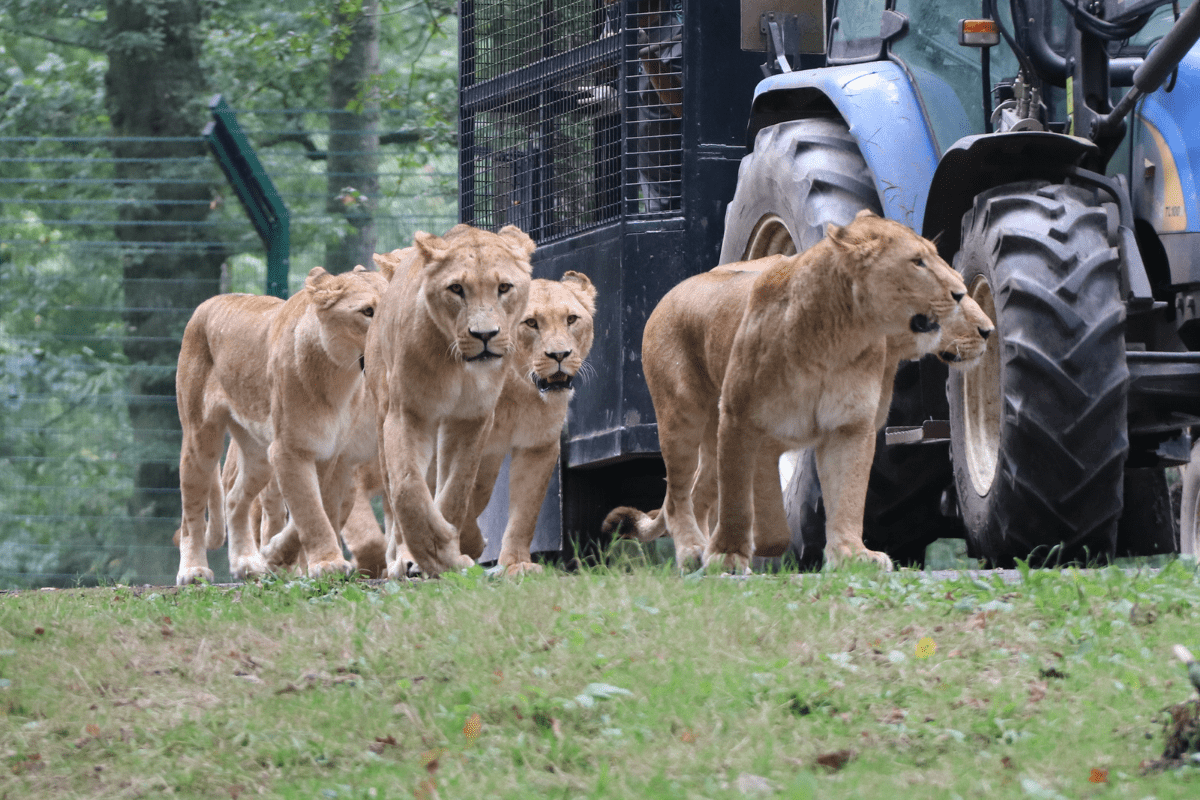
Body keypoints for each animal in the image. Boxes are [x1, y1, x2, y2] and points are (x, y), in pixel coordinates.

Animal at [175, 265, 387, 585]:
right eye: (367, 311)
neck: (339, 377)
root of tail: (209, 301)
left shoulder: (329, 454)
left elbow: (316, 510)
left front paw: (276, 556)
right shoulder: (290, 450)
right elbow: (310, 510)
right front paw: (327, 563)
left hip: (258, 454)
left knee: (235, 499)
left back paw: (247, 563)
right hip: (201, 441)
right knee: (192, 512)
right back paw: (192, 571)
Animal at [364, 224, 536, 579]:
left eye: (504, 287)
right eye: (456, 289)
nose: (484, 335)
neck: (460, 367)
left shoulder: (472, 418)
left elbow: (458, 488)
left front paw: (453, 547)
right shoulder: (408, 413)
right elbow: (407, 488)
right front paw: (437, 555)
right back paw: (403, 559)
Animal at [603, 211, 993, 572]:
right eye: (917, 262)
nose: (988, 329)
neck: (839, 340)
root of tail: (671, 290)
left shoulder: (850, 427)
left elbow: (848, 494)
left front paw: (851, 554)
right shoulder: (741, 420)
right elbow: (741, 500)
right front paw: (729, 554)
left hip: (713, 437)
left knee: (699, 494)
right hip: (681, 418)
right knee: (677, 498)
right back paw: (693, 551)